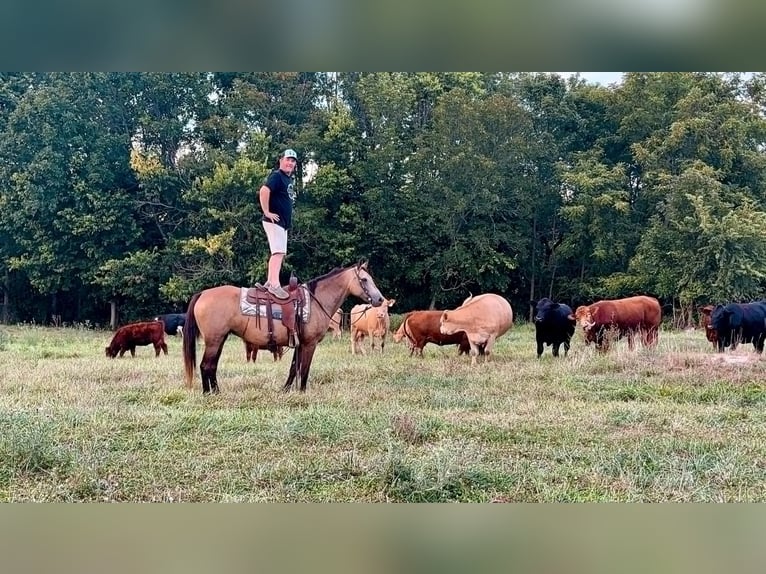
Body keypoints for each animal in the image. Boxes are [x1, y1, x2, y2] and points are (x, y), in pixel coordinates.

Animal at [182, 261, 385, 394]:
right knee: (205, 365)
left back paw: (216, 391)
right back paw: (209, 393)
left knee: (211, 366)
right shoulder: (309, 344)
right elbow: (304, 369)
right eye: (364, 280)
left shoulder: (299, 343)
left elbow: (294, 367)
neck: (316, 301)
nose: (380, 299)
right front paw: (302, 392)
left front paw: (286, 389)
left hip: (219, 339)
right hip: (214, 340)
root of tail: (202, 294)